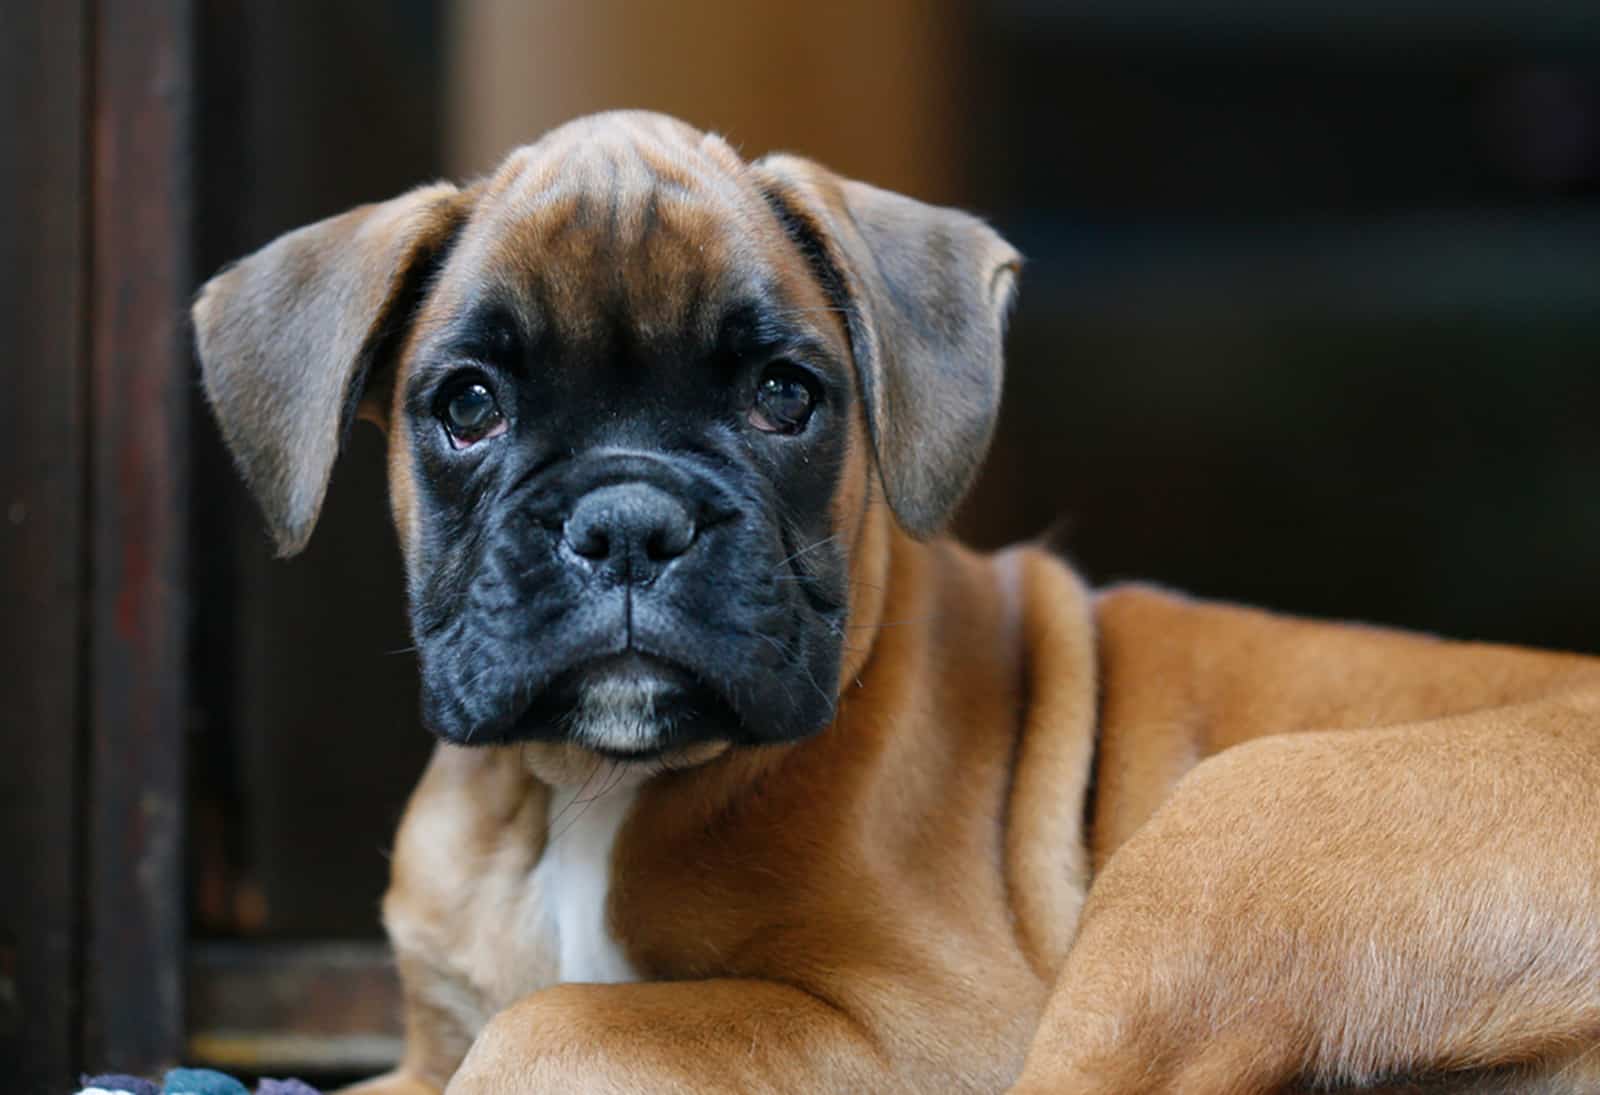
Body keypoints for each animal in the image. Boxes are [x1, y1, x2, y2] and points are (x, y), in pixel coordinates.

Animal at [196, 113, 1600, 1095]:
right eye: (469, 406)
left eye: (784, 395)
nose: (629, 521)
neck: (578, 795)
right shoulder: (422, 1052)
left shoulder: (925, 1030)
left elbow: (566, 1020)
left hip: (1218, 844)